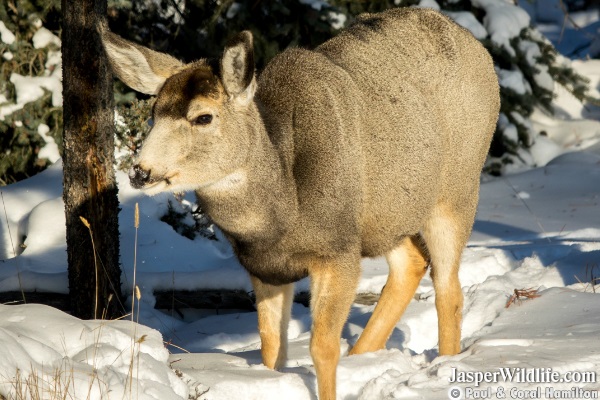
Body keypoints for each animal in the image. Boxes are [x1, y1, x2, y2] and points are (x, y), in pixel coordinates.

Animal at [101, 7, 500, 398]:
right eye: (154, 114)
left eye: (203, 117)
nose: (140, 171)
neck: (281, 212)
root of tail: (474, 44)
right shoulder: (264, 267)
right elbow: (270, 345)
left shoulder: (336, 251)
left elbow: (322, 347)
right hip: (386, 215)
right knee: (411, 263)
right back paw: (364, 357)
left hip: (457, 191)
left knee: (448, 286)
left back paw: (443, 365)